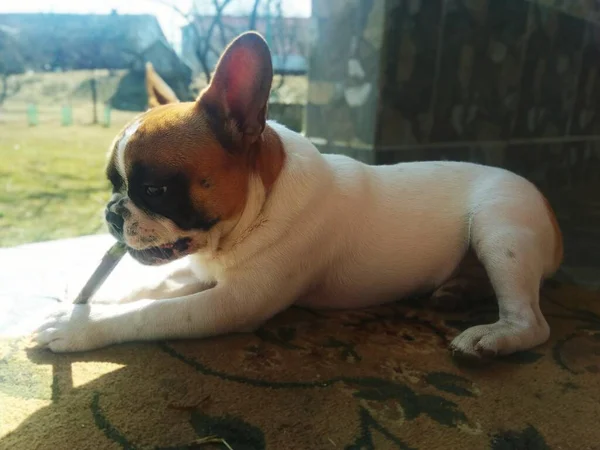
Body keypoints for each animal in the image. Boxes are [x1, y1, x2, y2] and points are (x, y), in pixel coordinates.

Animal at [34, 32, 564, 362]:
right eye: (113, 183)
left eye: (155, 190)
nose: (111, 212)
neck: (255, 209)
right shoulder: (198, 271)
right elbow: (149, 287)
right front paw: (82, 299)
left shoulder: (231, 304)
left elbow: (149, 313)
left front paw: (76, 327)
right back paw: (455, 292)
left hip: (498, 228)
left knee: (534, 322)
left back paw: (492, 337)